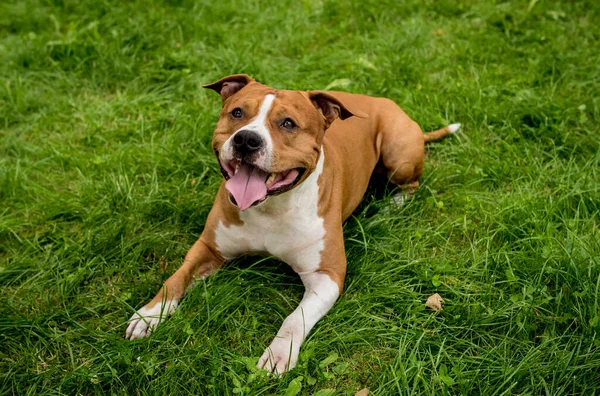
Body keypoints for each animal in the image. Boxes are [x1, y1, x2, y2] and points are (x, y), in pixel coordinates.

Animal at [124, 74, 458, 374]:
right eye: (237, 113)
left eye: (288, 123)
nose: (246, 139)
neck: (269, 209)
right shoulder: (210, 249)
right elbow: (175, 280)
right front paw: (149, 315)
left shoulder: (327, 276)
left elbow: (294, 319)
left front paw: (278, 354)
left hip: (398, 155)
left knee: (411, 185)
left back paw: (390, 207)